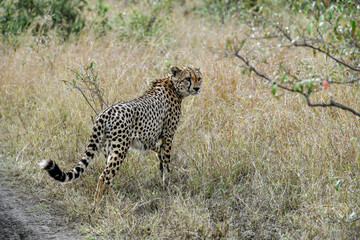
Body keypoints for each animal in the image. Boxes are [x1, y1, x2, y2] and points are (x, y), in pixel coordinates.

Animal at [40, 66, 202, 205]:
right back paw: (96, 207)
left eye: (198, 78)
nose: (197, 88)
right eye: (188, 78)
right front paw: (167, 184)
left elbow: (159, 154)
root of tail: (106, 112)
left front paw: (162, 174)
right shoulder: (168, 135)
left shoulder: (149, 138)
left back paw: (113, 201)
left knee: (108, 178)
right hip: (120, 149)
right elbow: (167, 161)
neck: (173, 84)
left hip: (109, 148)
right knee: (104, 177)